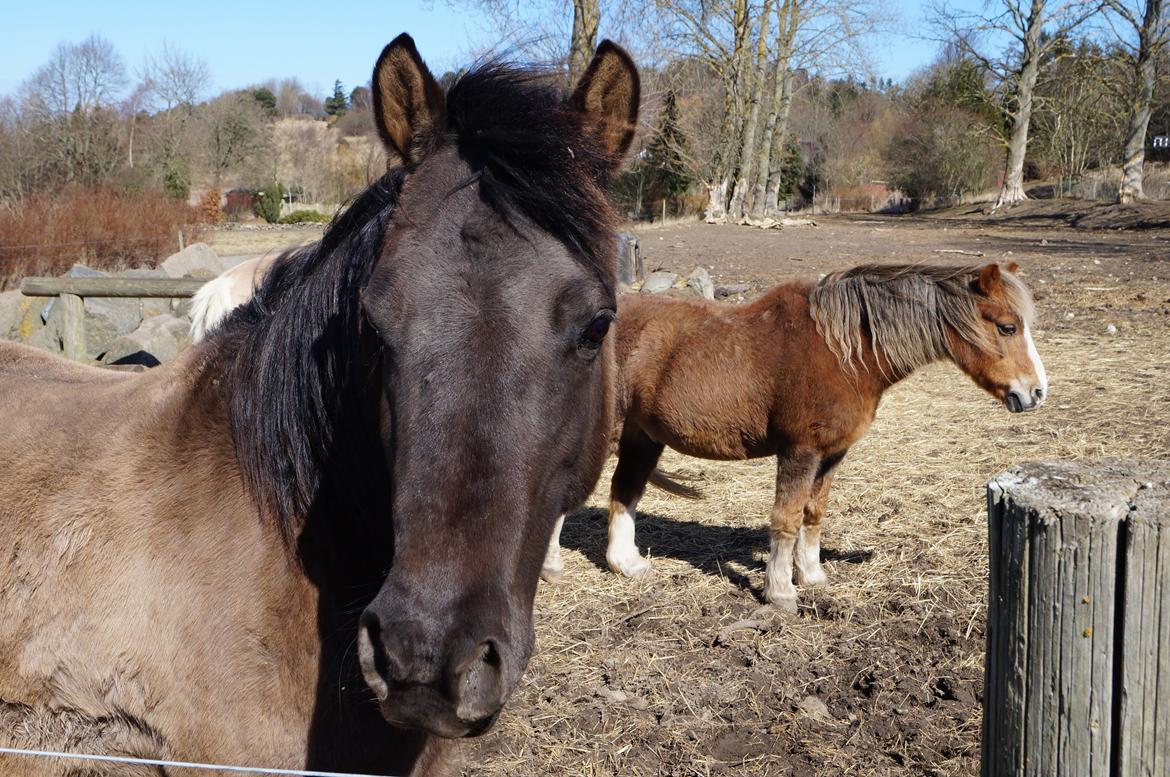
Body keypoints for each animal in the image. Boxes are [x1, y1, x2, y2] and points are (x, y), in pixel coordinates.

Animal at [542, 264, 1048, 608]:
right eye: (1007, 326)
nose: (1036, 392)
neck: (844, 351)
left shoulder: (832, 453)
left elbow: (812, 513)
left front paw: (812, 575)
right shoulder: (799, 451)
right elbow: (785, 519)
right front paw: (781, 591)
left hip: (642, 437)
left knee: (624, 493)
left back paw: (626, 565)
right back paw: (551, 567)